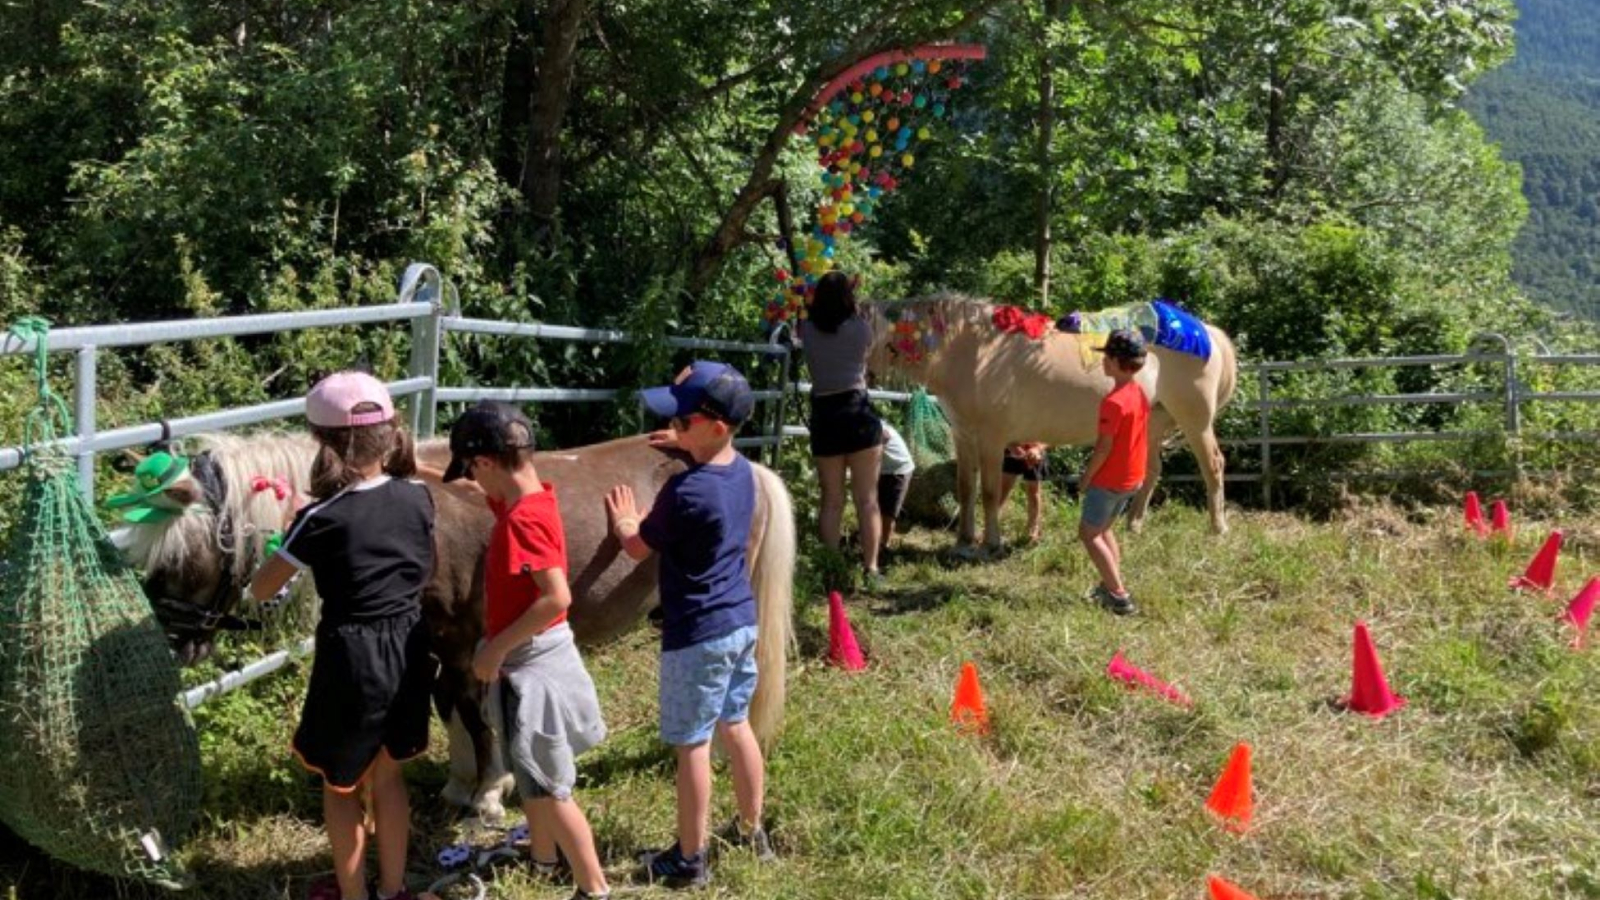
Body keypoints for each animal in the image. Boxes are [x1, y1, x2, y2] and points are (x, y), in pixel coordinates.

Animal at [109, 432, 796, 816]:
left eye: (176, 559)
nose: (172, 643)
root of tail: (743, 465)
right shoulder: (438, 642)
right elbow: (448, 708)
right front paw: (462, 785)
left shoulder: (469, 644)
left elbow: (473, 710)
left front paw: (488, 793)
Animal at [864, 294, 1235, 550]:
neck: (971, 351)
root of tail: (1208, 332)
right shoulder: (964, 436)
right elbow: (966, 488)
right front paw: (964, 541)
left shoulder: (991, 438)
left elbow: (988, 491)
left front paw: (990, 542)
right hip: (1153, 423)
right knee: (1152, 471)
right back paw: (1133, 525)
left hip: (1195, 421)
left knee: (1213, 466)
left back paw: (1218, 529)